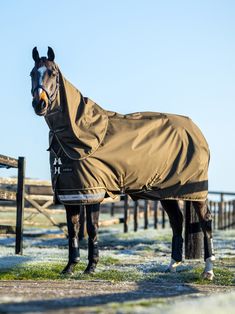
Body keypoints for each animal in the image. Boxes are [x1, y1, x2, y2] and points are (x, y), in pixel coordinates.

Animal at [30, 47, 216, 280]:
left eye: (53, 73)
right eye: (31, 73)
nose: (39, 104)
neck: (81, 135)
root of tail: (197, 131)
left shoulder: (93, 191)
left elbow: (92, 228)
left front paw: (91, 267)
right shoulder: (70, 193)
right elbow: (73, 230)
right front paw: (69, 267)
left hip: (195, 191)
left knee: (206, 222)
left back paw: (208, 270)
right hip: (167, 192)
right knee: (176, 221)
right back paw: (172, 265)